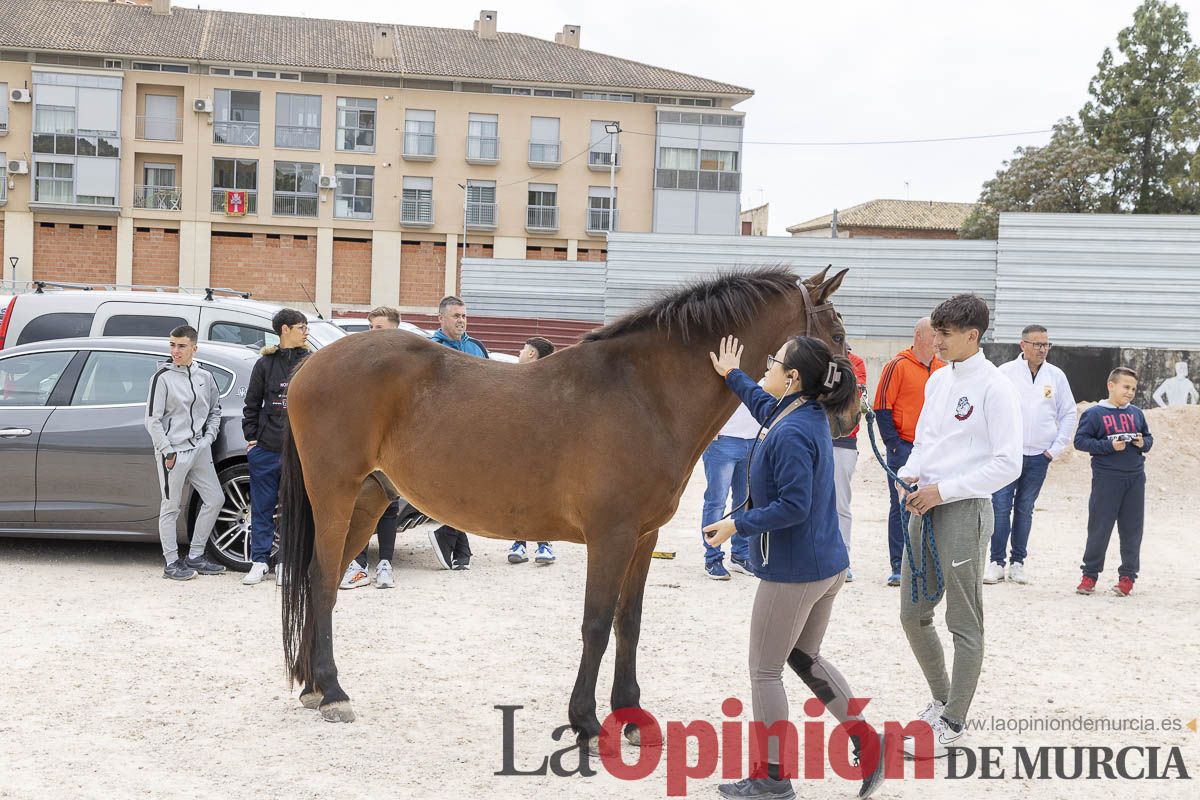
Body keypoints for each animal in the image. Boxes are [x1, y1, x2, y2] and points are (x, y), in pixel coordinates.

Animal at [278, 266, 854, 748]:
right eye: (838, 334)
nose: (851, 413)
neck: (645, 394)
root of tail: (312, 361)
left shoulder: (643, 538)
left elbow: (629, 622)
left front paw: (632, 717)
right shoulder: (610, 536)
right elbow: (596, 623)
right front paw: (587, 723)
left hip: (368, 500)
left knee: (319, 579)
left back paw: (312, 686)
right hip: (336, 495)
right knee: (323, 580)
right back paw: (333, 692)